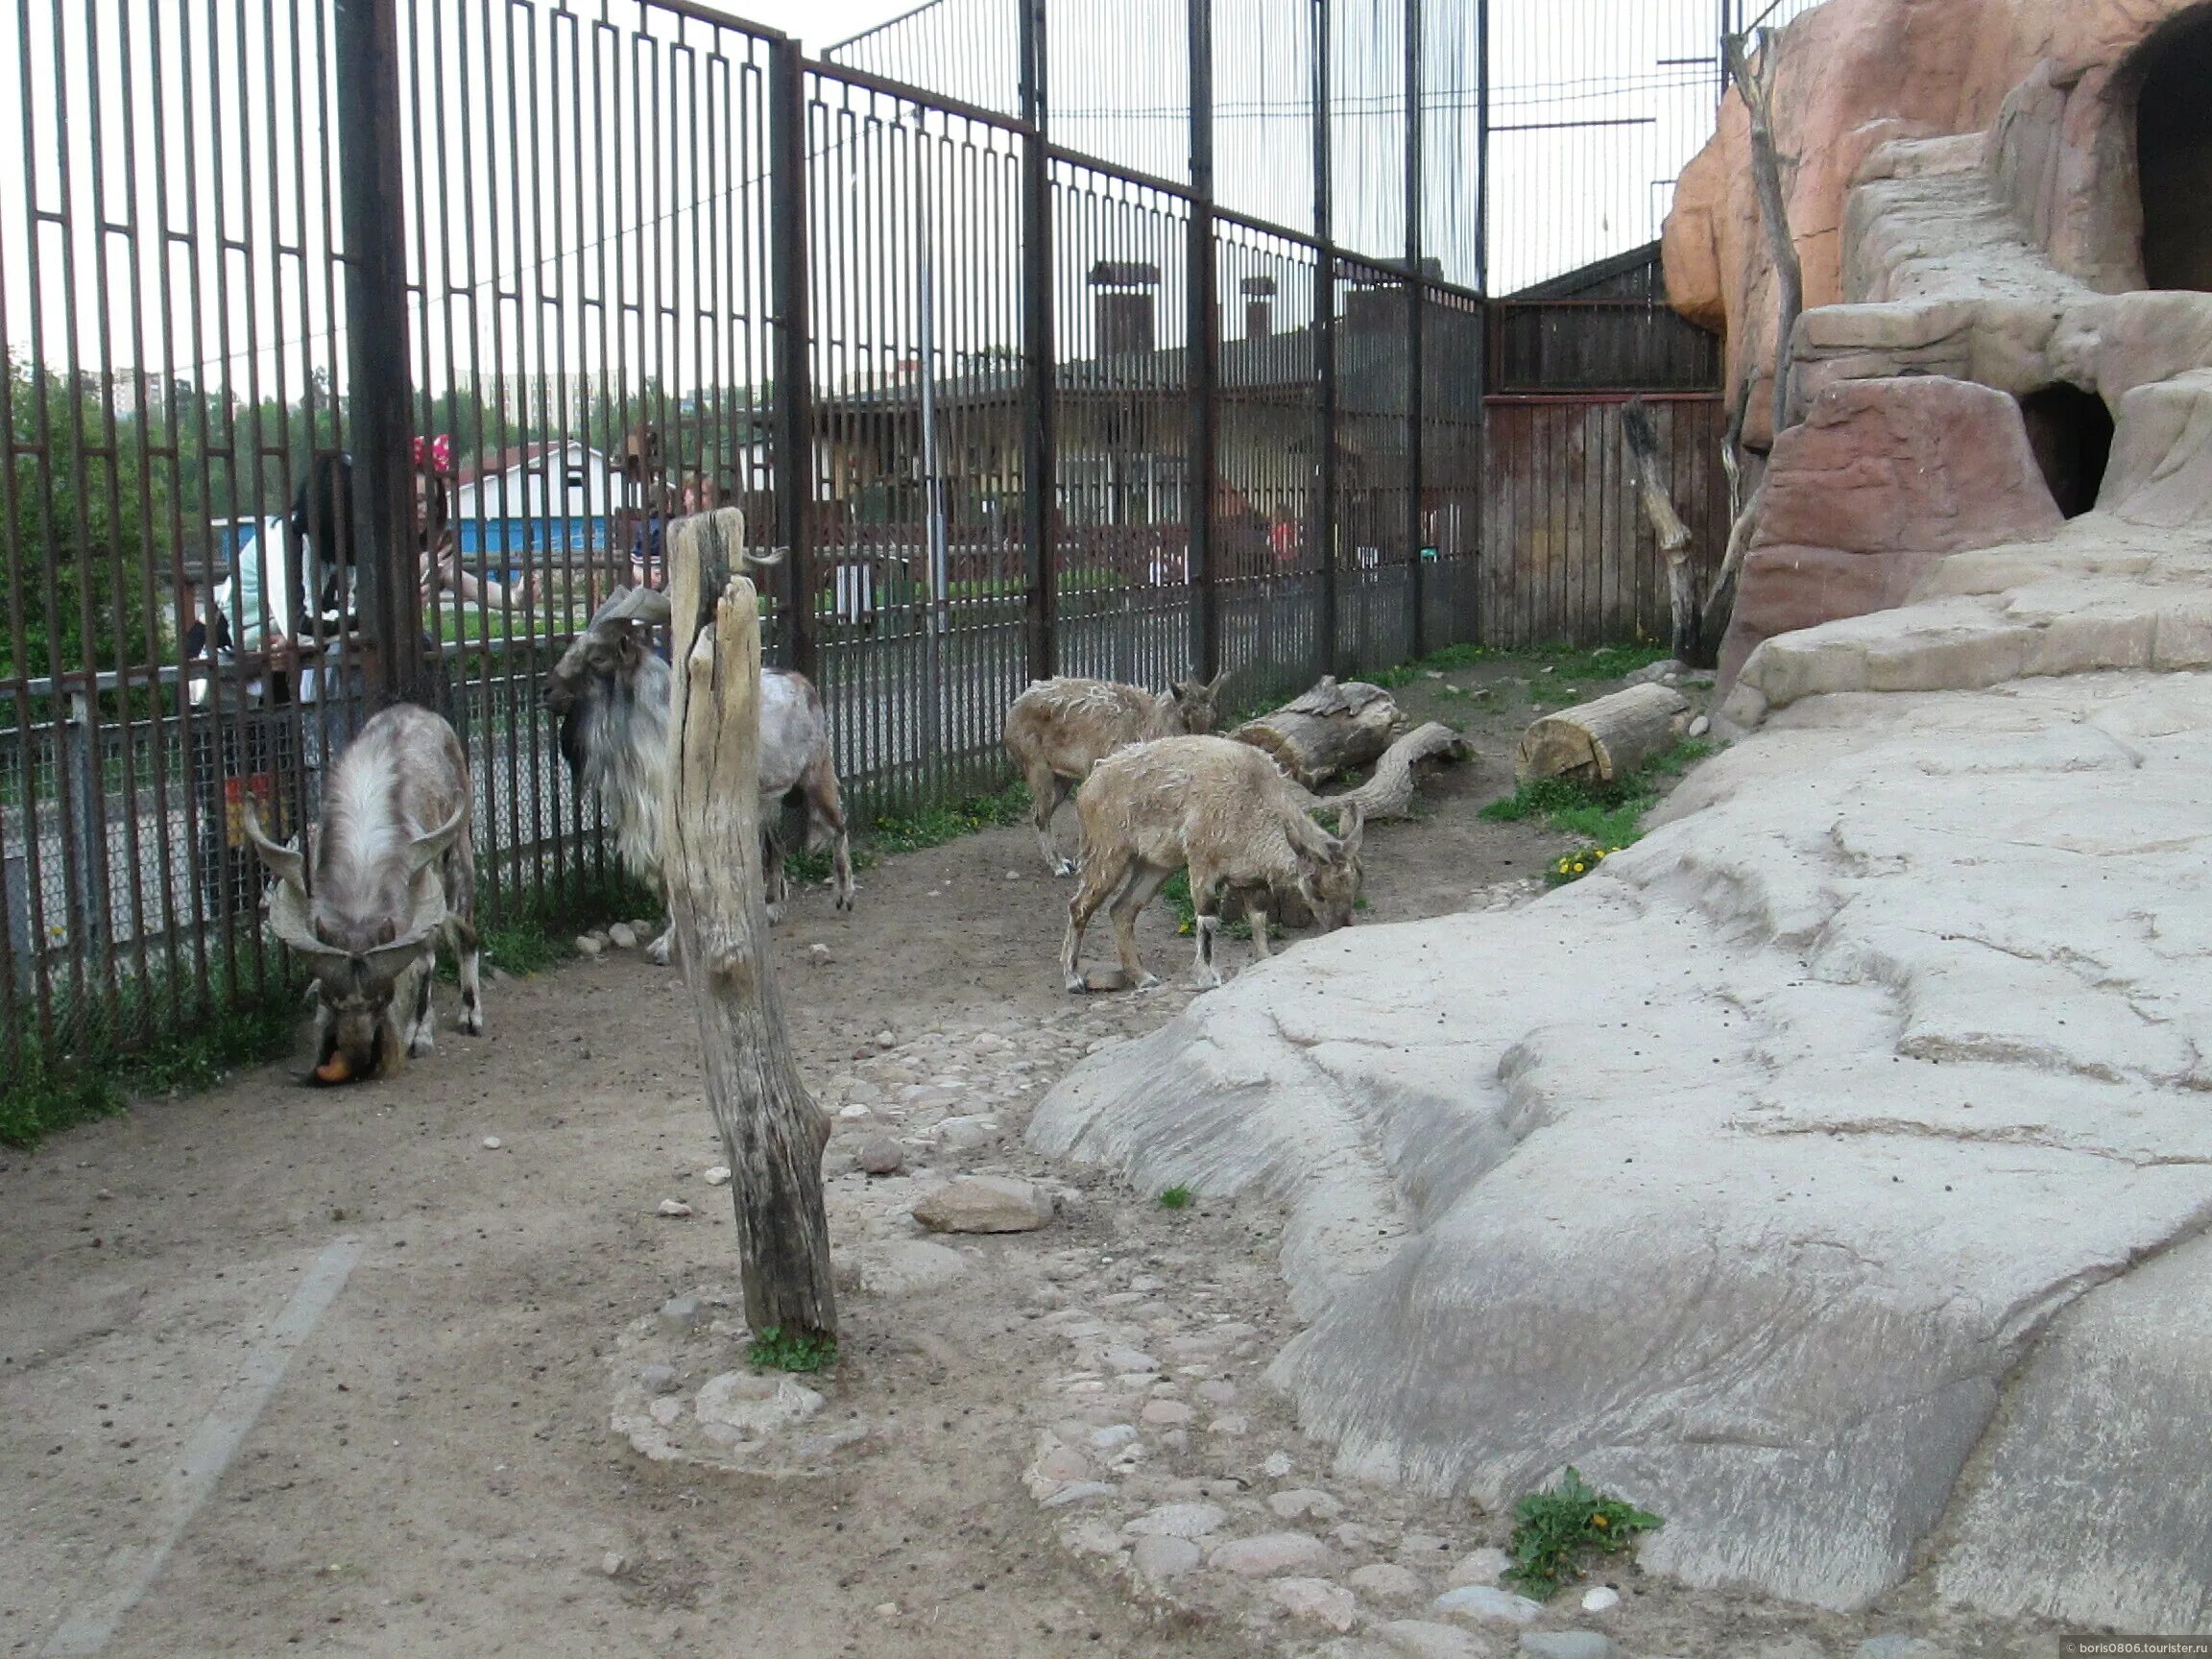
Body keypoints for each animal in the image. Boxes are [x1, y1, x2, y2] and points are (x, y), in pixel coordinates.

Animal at [246, 703, 479, 1083]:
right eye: (330, 999)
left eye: (383, 999)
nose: (359, 1059)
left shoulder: (420, 881)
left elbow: (424, 961)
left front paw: (420, 1036)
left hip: (458, 856)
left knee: (466, 934)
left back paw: (470, 1015)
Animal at [540, 592, 849, 969]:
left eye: (598, 657)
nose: (546, 691)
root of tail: (803, 683)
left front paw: (666, 946)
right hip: (767, 800)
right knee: (775, 847)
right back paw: (773, 907)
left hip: (816, 773)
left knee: (839, 825)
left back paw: (844, 897)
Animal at [1004, 672, 1230, 884]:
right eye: (1186, 716)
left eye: (1212, 715)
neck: (1147, 726)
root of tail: (1012, 712)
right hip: (1038, 769)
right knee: (1039, 816)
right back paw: (1059, 866)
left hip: (1062, 779)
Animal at [1057, 738, 1354, 995]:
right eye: (1317, 891)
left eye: (1352, 886)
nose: (1341, 927)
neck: (1252, 796)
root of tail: (1087, 787)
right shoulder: (1202, 862)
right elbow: (1207, 918)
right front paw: (1207, 977)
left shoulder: (1250, 878)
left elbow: (1258, 918)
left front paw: (1265, 959)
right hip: (1107, 852)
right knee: (1079, 906)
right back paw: (1073, 979)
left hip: (1155, 865)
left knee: (1123, 909)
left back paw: (1143, 977)